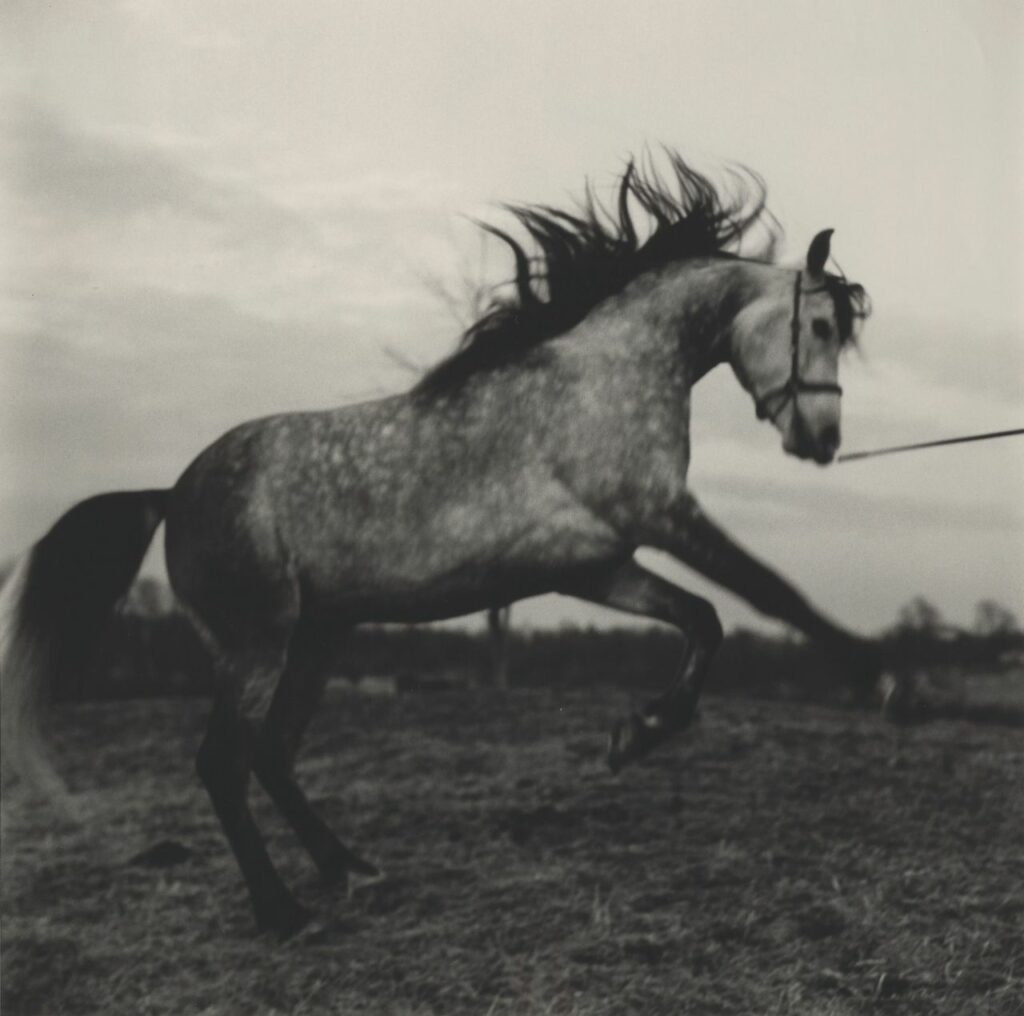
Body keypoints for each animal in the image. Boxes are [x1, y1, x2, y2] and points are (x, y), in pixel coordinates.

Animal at [0, 152, 875, 938]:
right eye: (819, 325)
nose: (824, 440)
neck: (606, 379)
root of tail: (172, 493)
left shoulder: (596, 565)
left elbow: (705, 620)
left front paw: (638, 735)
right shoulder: (659, 516)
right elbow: (767, 591)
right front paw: (882, 678)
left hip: (317, 636)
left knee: (273, 755)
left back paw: (349, 868)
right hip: (259, 643)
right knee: (224, 762)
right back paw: (282, 913)